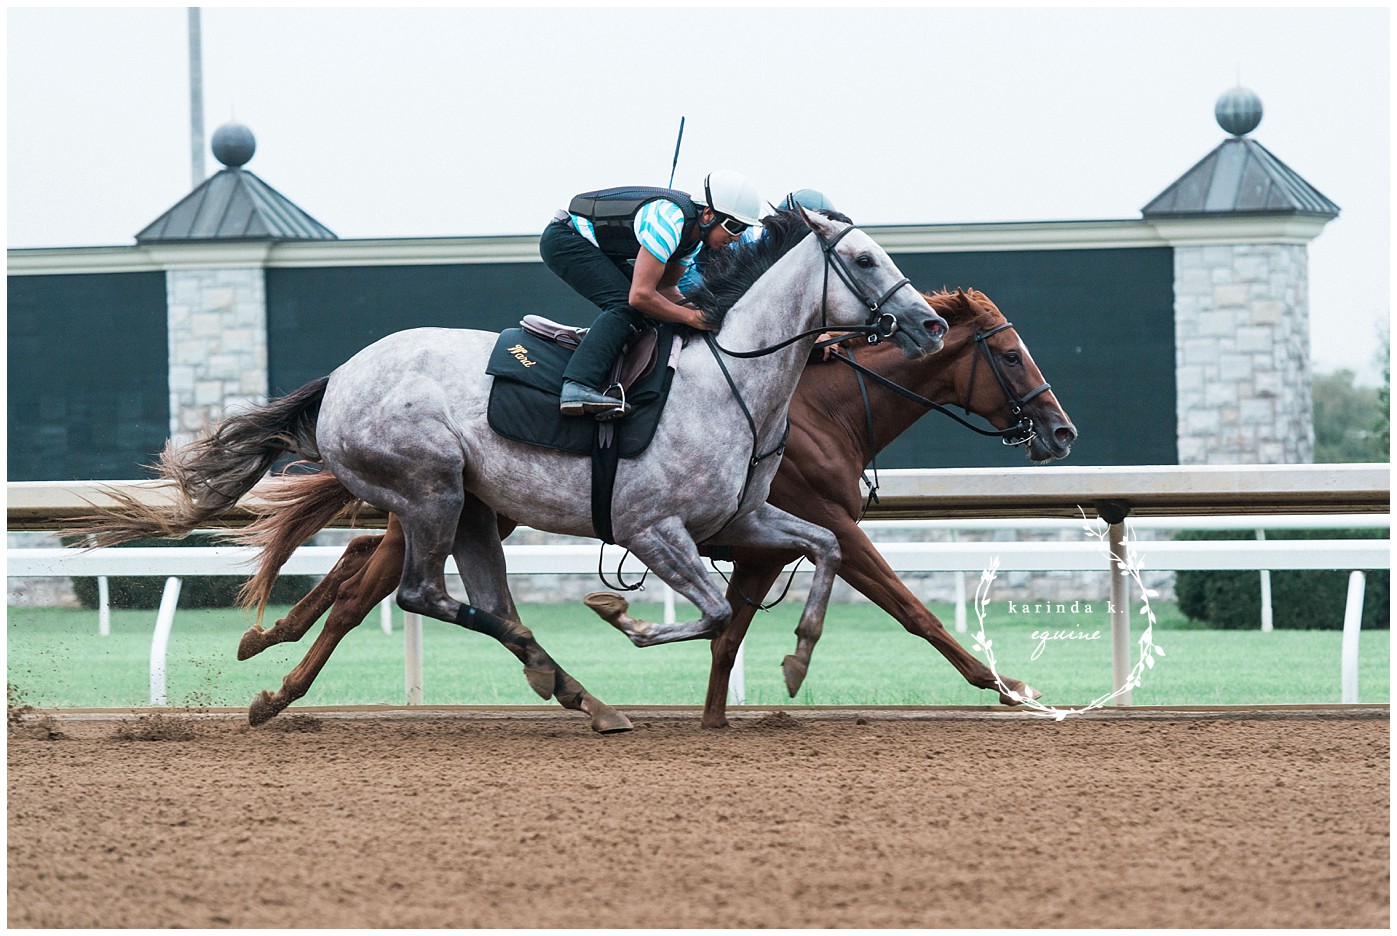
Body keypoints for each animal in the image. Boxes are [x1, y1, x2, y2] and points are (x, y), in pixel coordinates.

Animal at [72, 208, 947, 734]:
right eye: (864, 258)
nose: (929, 323)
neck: (725, 380)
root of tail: (340, 380)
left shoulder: (739, 518)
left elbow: (821, 550)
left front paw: (797, 658)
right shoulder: (651, 528)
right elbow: (714, 612)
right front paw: (621, 616)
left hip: (472, 510)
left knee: (479, 600)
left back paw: (577, 692)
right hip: (431, 490)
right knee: (425, 595)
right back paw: (562, 680)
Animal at [234, 287, 1075, 727]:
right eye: (1008, 354)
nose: (1060, 431)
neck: (817, 407)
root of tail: (350, 381)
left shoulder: (760, 542)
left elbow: (729, 631)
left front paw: (716, 715)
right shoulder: (826, 524)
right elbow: (912, 610)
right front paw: (1009, 687)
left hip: (470, 509)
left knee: (364, 567)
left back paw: (271, 643)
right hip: (445, 497)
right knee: (370, 592)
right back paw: (280, 688)